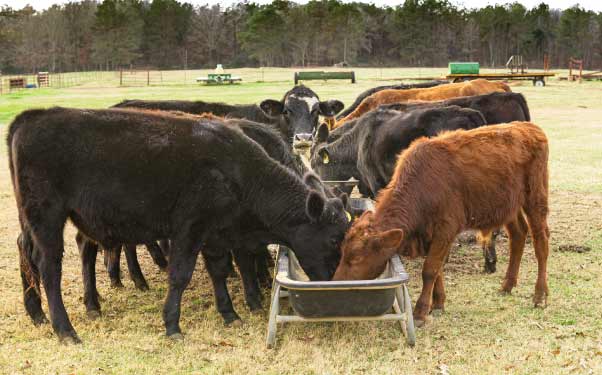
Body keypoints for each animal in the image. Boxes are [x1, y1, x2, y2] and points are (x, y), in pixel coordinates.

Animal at [9, 107, 346, 342]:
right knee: (49, 267)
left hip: (37, 220)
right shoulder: (190, 228)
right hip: (47, 218)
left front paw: (230, 313)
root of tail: (30, 117)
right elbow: (181, 275)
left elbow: (219, 271)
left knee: (29, 251)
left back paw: (40, 312)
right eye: (333, 239)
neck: (237, 170)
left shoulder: (216, 234)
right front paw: (172, 325)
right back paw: (65, 329)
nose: (334, 278)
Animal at [332, 122, 548, 328]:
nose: (337, 282)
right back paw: (507, 286)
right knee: (518, 235)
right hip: (509, 206)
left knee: (541, 242)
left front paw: (420, 312)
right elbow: (438, 271)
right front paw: (438, 303)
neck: (423, 186)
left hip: (535, 198)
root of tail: (529, 128)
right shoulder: (430, 235)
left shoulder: (445, 230)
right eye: (342, 252)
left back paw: (540, 296)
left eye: (356, 258)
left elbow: (429, 270)